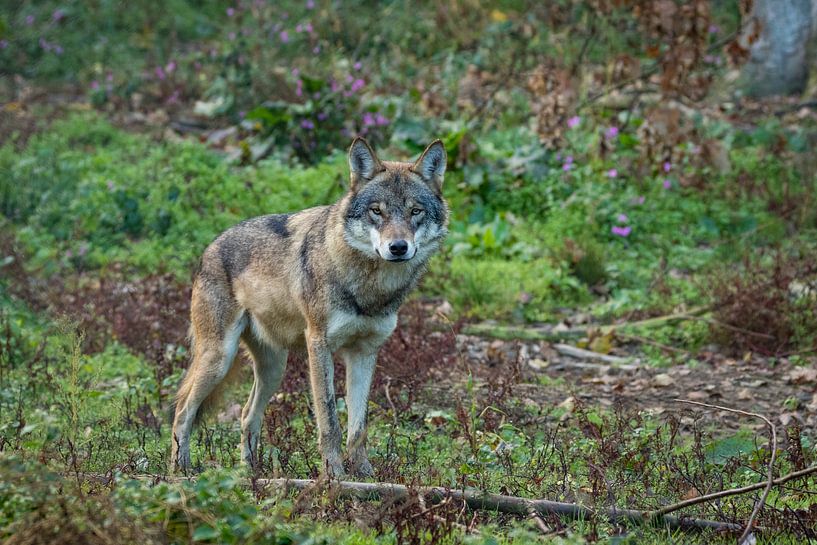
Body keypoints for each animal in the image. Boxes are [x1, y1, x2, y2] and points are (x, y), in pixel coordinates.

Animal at [167, 137, 446, 476]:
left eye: (415, 211)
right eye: (376, 212)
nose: (398, 247)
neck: (370, 289)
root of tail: (210, 247)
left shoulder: (365, 352)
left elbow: (359, 426)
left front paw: (366, 476)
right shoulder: (319, 345)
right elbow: (330, 420)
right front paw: (334, 475)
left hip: (273, 369)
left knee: (246, 414)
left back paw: (252, 475)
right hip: (219, 359)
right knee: (183, 410)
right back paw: (181, 472)